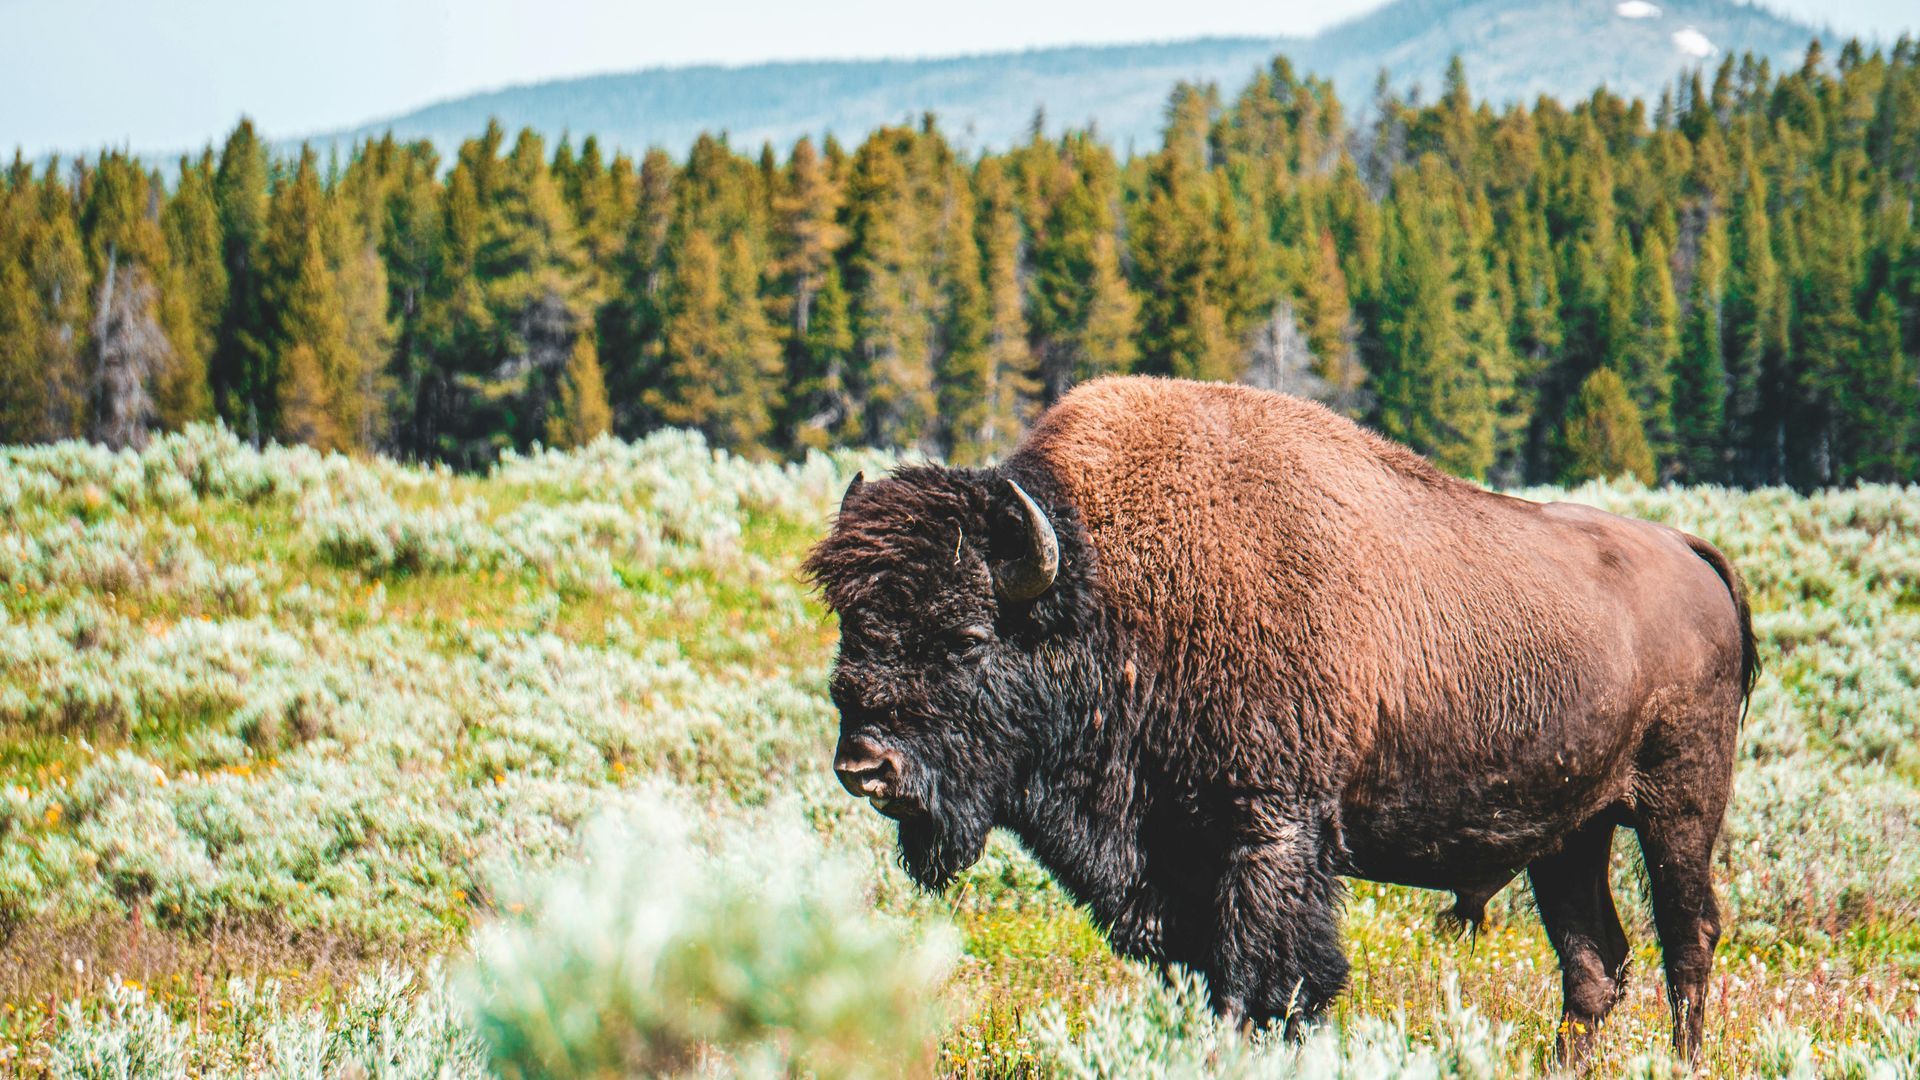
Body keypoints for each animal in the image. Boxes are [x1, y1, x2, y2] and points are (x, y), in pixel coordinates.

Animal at [805, 377, 1756, 1060]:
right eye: (851, 625)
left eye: (966, 636)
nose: (866, 767)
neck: (1109, 591)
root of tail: (1691, 551)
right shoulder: (1172, 869)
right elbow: (1211, 981)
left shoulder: (1270, 834)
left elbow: (1272, 981)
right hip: (1570, 833)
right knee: (1595, 964)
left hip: (1678, 807)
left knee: (1688, 937)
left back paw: (1685, 1062)